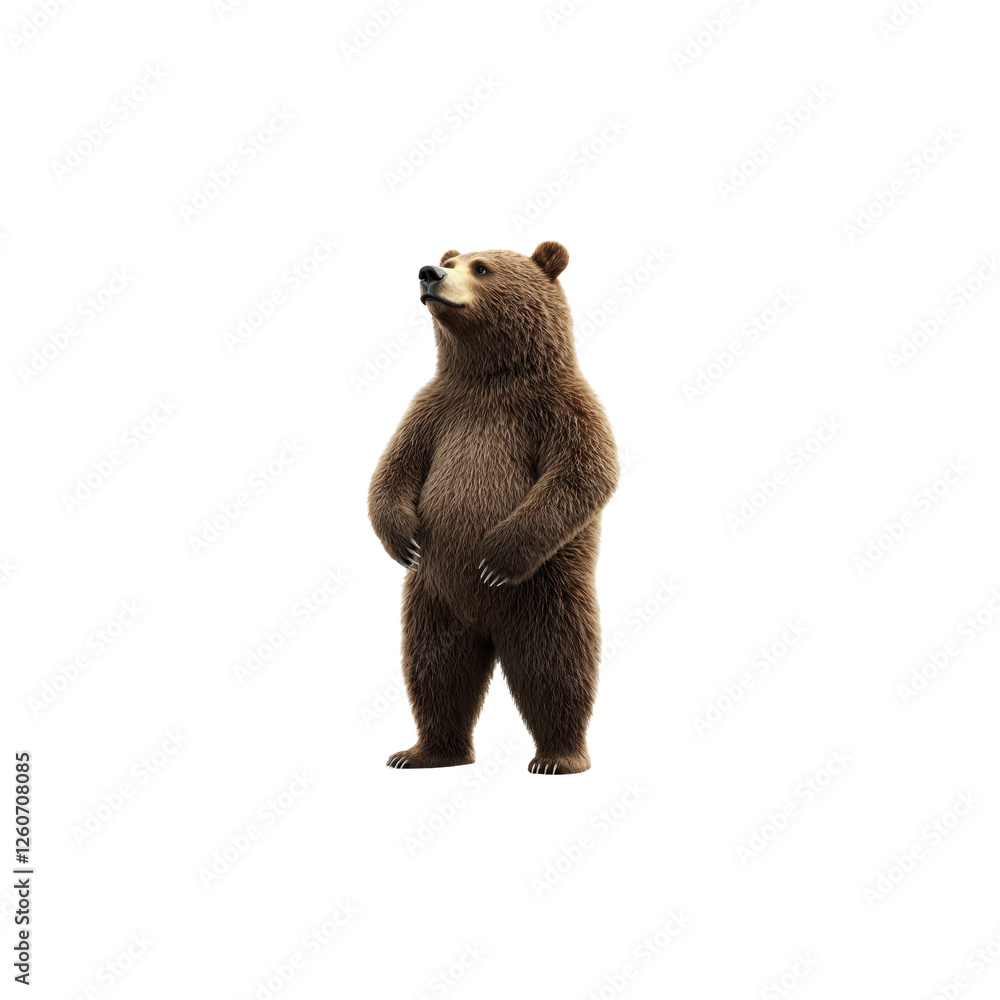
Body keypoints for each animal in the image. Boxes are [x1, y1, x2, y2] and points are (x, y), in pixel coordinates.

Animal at [368, 242, 618, 774]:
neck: (491, 374)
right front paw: (405, 540)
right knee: (434, 667)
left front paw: (495, 557)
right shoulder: (435, 410)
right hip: (433, 597)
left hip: (547, 589)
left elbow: (583, 473)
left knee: (558, 661)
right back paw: (425, 752)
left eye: (481, 267)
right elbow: (393, 468)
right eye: (452, 260)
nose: (429, 272)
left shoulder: (560, 408)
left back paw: (558, 757)